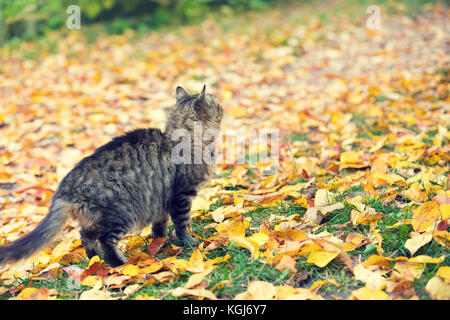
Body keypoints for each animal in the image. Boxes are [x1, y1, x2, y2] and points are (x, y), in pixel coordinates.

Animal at [0, 85, 223, 268]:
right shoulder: (181, 196)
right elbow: (183, 224)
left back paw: (95, 261)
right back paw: (118, 264)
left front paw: (160, 242)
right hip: (121, 213)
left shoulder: (162, 203)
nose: (223, 107)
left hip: (94, 219)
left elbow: (159, 226)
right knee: (105, 240)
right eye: (218, 106)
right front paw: (189, 242)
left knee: (86, 238)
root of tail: (65, 188)